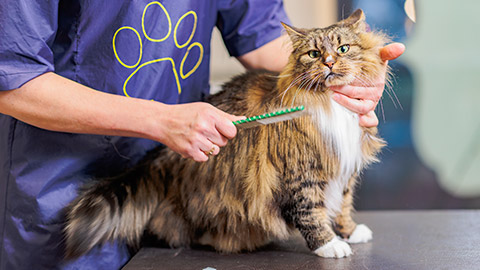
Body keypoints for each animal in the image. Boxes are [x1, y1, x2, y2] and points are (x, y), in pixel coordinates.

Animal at [65, 10, 388, 260]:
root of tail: (161, 157)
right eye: (314, 54)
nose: (329, 62)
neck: (330, 102)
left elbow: (343, 204)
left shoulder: (344, 166)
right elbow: (311, 213)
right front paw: (330, 245)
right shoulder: (301, 172)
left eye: (343, 49)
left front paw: (350, 232)